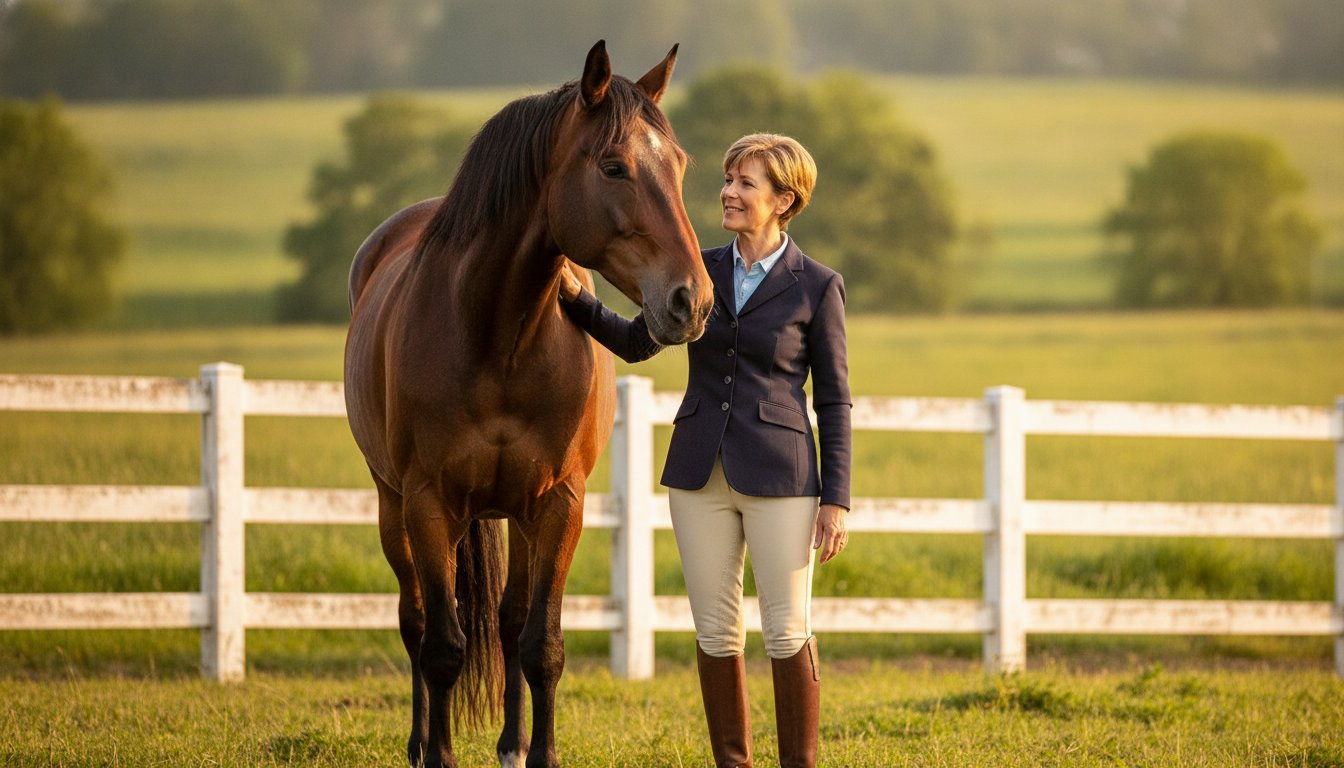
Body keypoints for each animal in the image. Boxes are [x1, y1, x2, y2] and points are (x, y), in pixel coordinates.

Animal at [343, 41, 713, 768]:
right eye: (614, 166)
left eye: (680, 164)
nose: (693, 300)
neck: (497, 339)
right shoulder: (428, 503)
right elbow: (443, 647)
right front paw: (440, 754)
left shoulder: (559, 503)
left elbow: (540, 642)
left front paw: (538, 751)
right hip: (392, 503)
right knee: (417, 620)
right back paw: (419, 740)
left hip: (511, 511)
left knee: (509, 619)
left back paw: (511, 742)